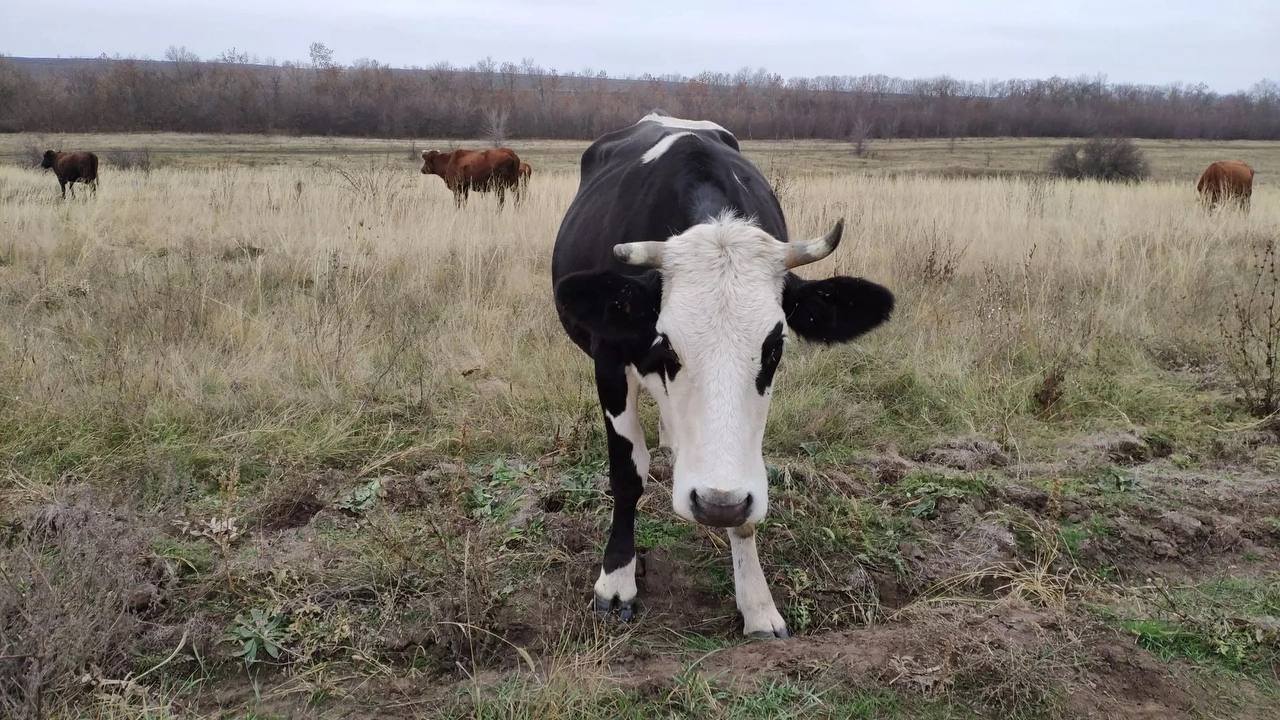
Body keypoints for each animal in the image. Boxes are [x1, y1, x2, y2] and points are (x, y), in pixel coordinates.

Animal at [555, 110, 896, 632]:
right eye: (667, 343)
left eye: (774, 347)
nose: (717, 504)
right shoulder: (608, 361)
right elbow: (628, 473)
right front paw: (616, 580)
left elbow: (749, 495)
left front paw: (756, 601)